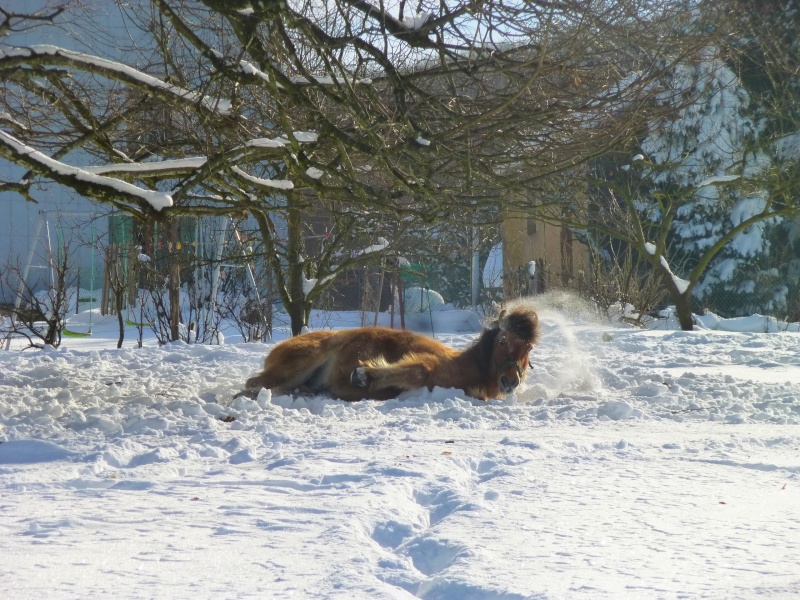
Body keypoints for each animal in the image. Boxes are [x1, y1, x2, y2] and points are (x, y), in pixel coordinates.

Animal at [238, 304, 536, 404]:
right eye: (503, 340)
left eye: (529, 347)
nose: (510, 381)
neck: (467, 366)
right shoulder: (428, 364)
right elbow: (418, 371)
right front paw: (363, 375)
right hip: (296, 366)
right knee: (254, 384)